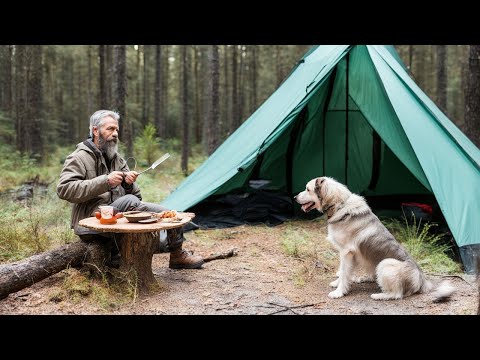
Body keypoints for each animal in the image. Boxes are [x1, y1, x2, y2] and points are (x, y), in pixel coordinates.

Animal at [294, 177, 456, 300]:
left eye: (307, 189)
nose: (295, 197)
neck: (340, 205)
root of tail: (422, 279)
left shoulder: (346, 252)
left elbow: (344, 272)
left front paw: (339, 292)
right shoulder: (347, 254)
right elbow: (344, 271)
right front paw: (338, 283)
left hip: (385, 264)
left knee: (397, 294)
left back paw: (379, 296)